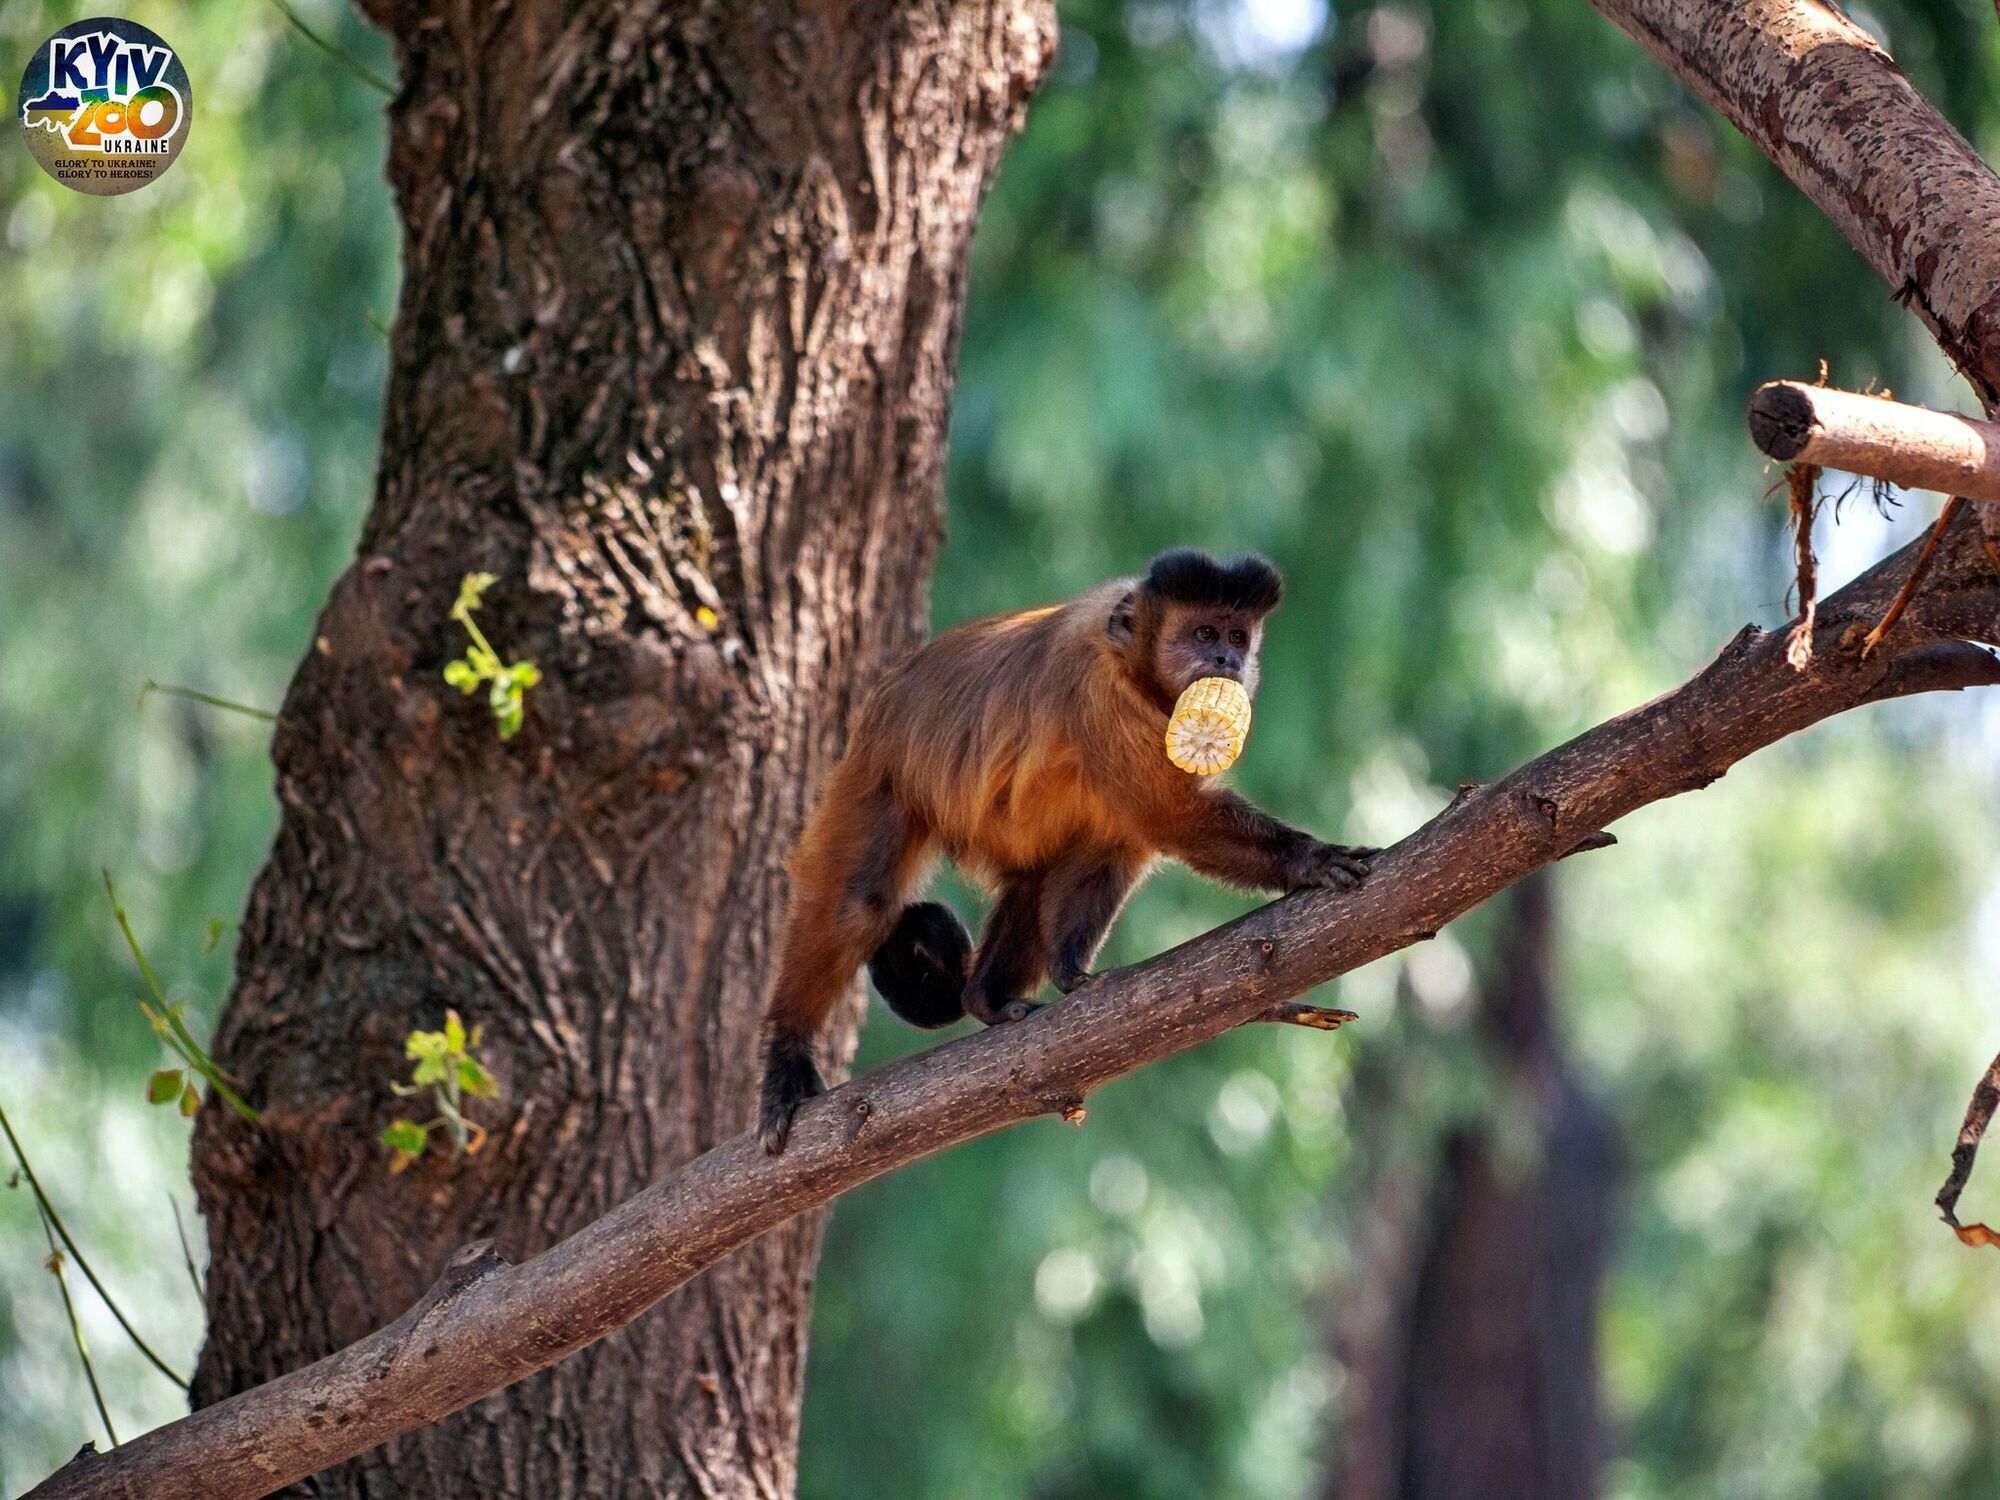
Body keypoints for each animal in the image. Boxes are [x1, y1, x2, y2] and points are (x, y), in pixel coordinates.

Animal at [756, 548, 1368, 1152]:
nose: (1226, 658)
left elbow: (1122, 839)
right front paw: (1310, 861)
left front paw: (1070, 973)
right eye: (1204, 632)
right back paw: (786, 1056)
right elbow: (1171, 817)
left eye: (1238, 637)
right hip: (877, 774)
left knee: (1040, 872)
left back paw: (987, 999)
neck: (1131, 659)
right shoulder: (1099, 691)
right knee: (857, 905)